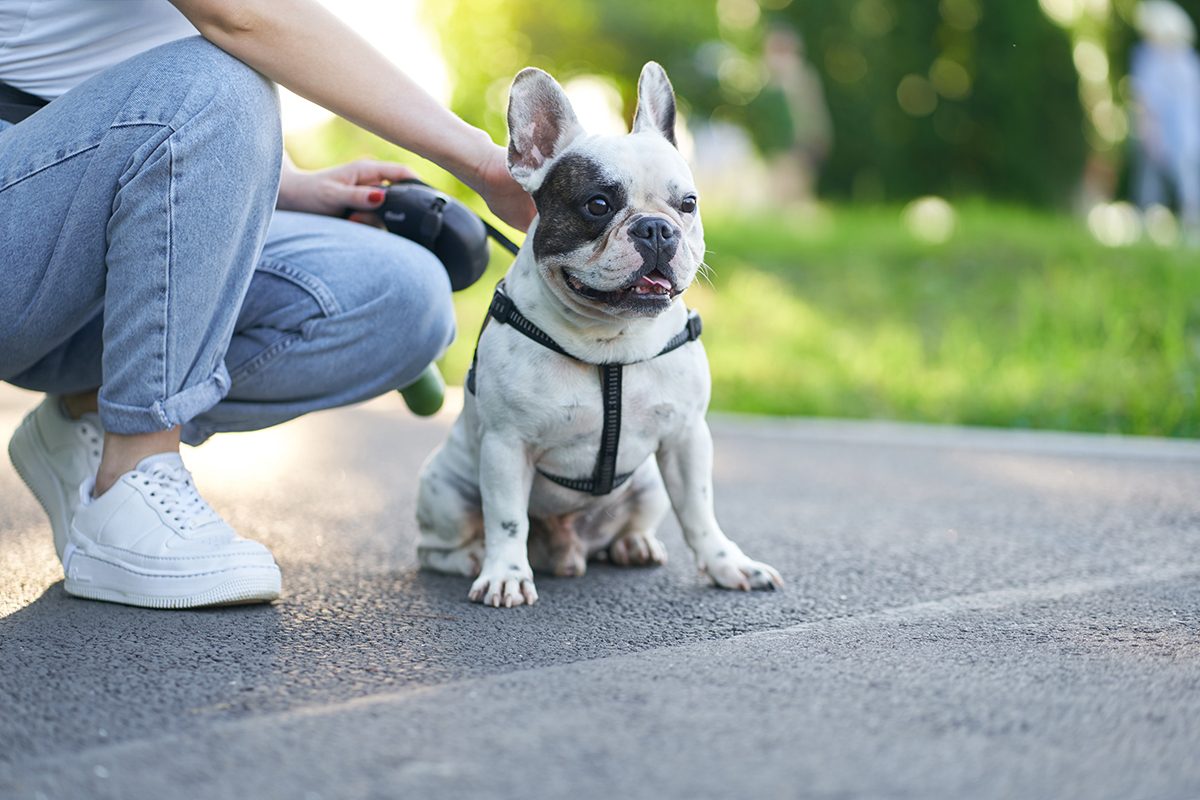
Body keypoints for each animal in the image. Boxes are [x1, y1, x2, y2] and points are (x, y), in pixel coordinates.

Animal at [417, 62, 782, 609]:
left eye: (688, 204)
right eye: (597, 204)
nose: (656, 228)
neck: (612, 341)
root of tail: (566, 550)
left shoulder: (687, 437)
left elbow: (700, 512)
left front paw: (728, 564)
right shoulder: (506, 446)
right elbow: (507, 519)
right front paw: (505, 574)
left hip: (649, 485)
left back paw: (633, 544)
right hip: (442, 488)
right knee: (438, 546)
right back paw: (471, 558)